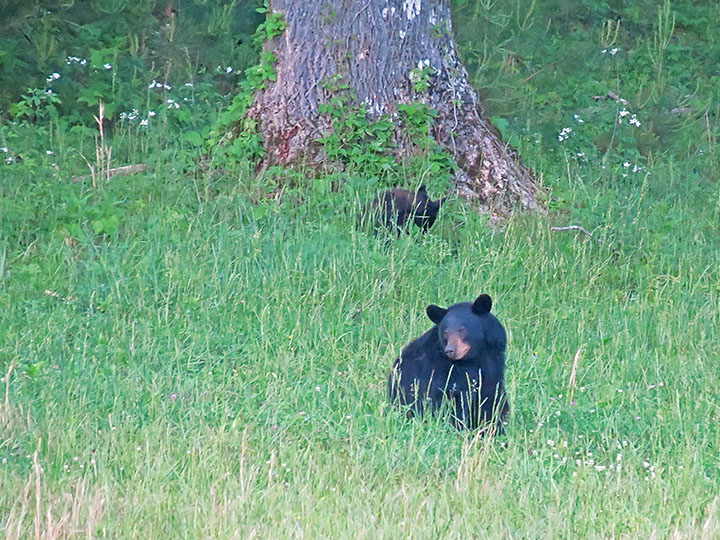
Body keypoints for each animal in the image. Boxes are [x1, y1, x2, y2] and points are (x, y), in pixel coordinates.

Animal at [388, 296, 512, 430]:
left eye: (461, 330)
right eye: (445, 333)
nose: (450, 350)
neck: (475, 357)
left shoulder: (494, 362)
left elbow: (492, 397)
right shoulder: (439, 370)